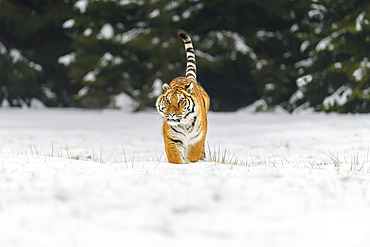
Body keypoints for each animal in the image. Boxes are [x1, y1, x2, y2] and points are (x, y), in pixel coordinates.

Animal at [155, 32, 210, 164]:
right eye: (168, 100)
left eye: (181, 101)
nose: (171, 114)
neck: (184, 124)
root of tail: (188, 78)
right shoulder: (172, 139)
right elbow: (176, 158)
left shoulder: (198, 138)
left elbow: (193, 154)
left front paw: (190, 162)